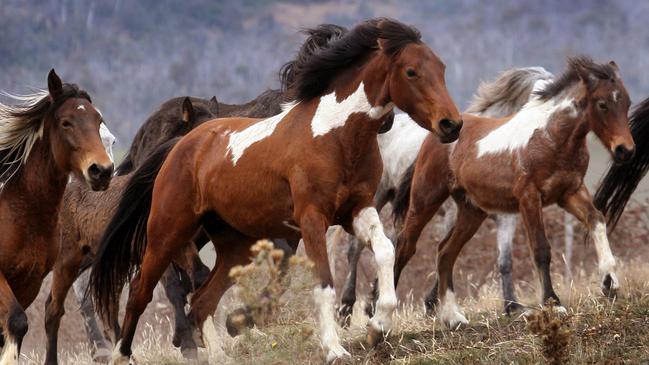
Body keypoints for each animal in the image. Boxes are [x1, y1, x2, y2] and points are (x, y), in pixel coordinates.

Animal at [88, 18, 460, 362]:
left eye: (442, 68)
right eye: (411, 71)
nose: (451, 125)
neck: (336, 137)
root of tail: (180, 144)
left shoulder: (358, 209)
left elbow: (385, 251)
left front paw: (378, 326)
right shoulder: (311, 219)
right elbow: (323, 282)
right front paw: (334, 349)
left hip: (235, 245)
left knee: (203, 298)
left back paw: (219, 354)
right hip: (168, 231)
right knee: (144, 289)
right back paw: (129, 354)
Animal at [336, 66, 556, 322]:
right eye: (541, 94)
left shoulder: (506, 218)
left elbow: (504, 261)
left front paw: (511, 304)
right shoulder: (452, 213)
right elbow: (445, 251)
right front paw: (432, 303)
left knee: (390, 241)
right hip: (378, 197)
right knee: (356, 248)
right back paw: (347, 307)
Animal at [390, 56, 632, 328]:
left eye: (627, 102)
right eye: (602, 104)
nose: (625, 150)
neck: (551, 137)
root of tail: (436, 135)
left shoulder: (570, 192)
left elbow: (597, 220)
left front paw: (610, 283)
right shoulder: (529, 197)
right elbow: (541, 249)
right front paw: (553, 303)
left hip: (472, 211)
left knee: (445, 252)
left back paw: (453, 317)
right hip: (426, 198)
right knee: (404, 246)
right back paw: (380, 318)